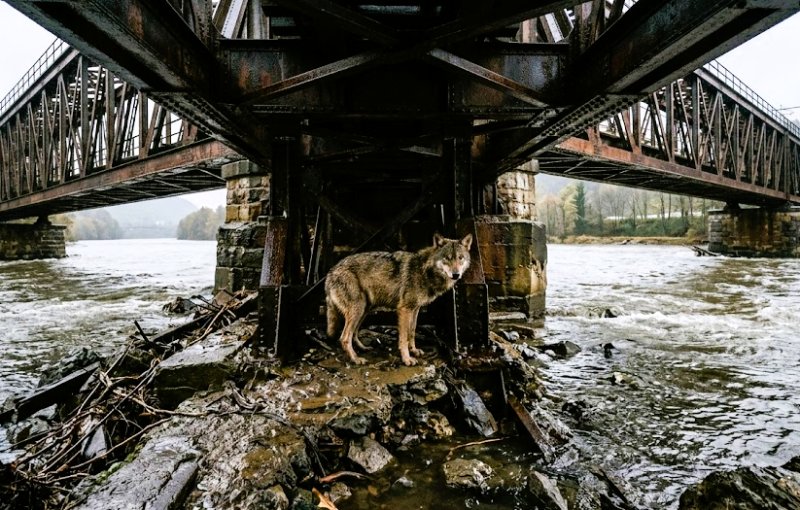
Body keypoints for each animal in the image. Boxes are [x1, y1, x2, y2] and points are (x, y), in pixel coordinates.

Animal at [325, 233, 473, 366]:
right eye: (447, 258)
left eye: (460, 258)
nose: (456, 274)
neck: (424, 271)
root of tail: (330, 273)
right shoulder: (404, 309)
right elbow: (403, 337)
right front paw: (407, 359)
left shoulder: (415, 309)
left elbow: (412, 331)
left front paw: (414, 350)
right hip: (358, 309)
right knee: (344, 338)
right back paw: (355, 359)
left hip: (365, 310)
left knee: (354, 333)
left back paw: (363, 348)